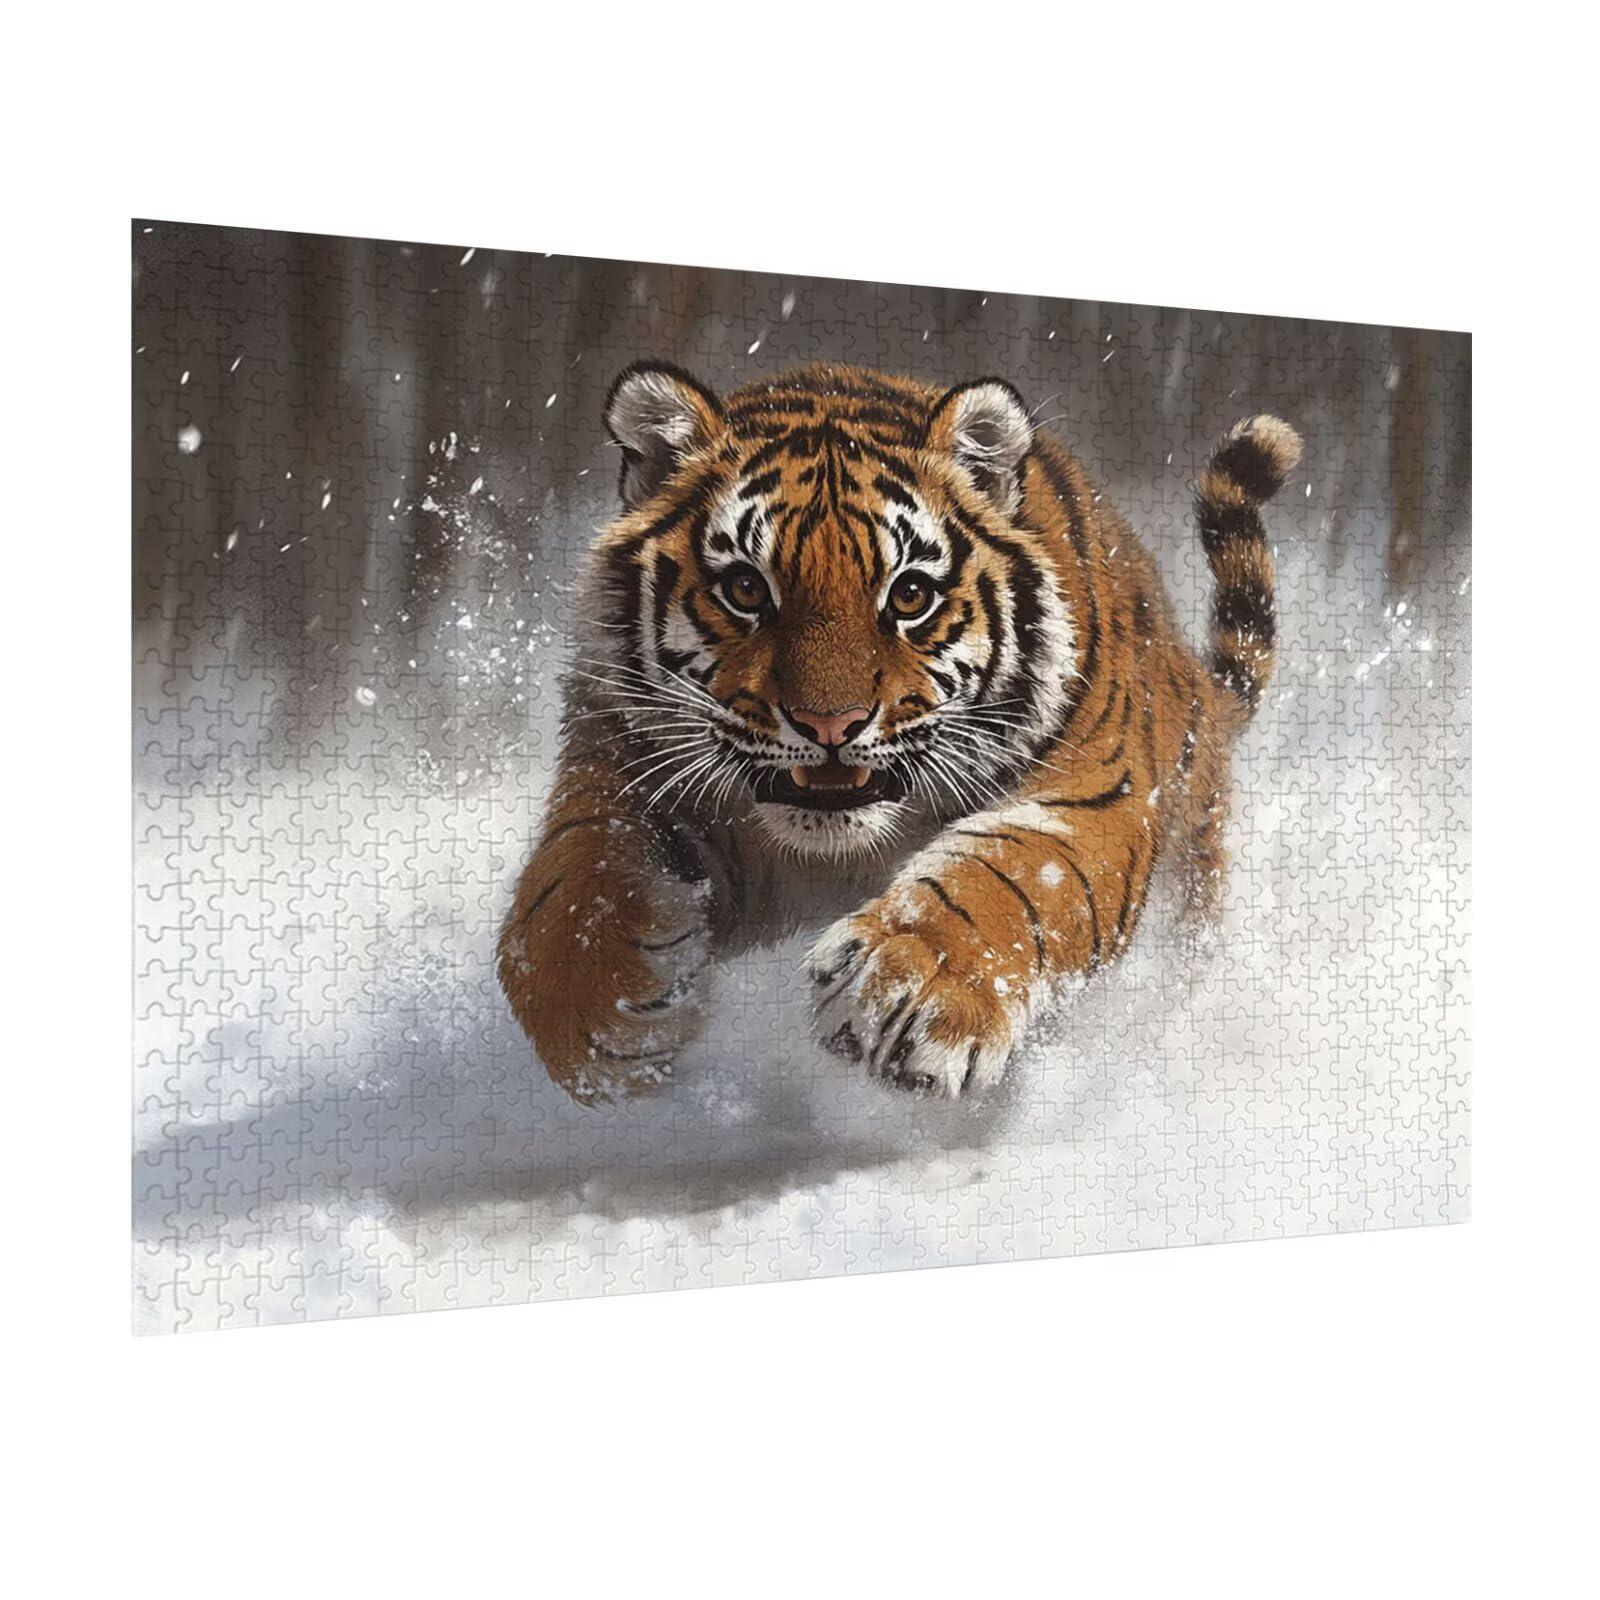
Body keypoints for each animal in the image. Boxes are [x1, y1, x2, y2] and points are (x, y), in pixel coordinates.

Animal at [498, 361, 1301, 1106]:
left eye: (910, 595)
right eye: (746, 589)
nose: (830, 722)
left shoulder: (1098, 794)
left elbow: (1011, 876)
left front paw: (909, 992)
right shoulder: (622, 751)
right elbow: (577, 871)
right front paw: (599, 1005)